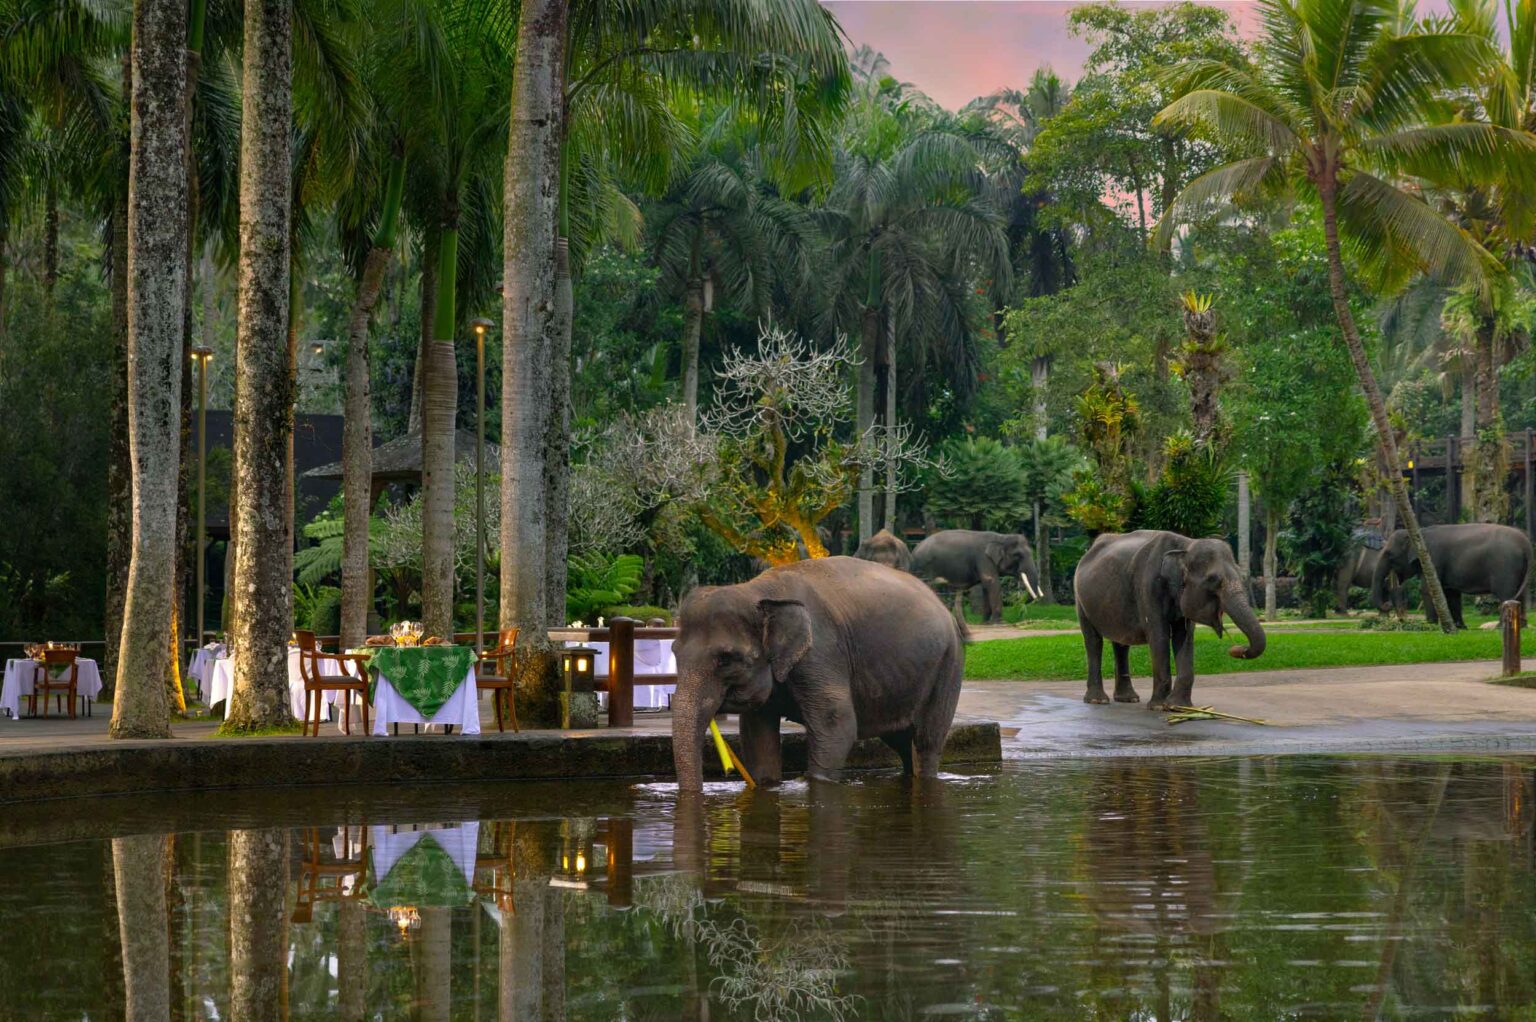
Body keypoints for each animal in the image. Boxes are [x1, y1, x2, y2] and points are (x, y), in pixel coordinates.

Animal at [670, 556, 966, 790]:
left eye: (726, 659)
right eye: (673, 652)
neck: (756, 590)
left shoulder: (821, 652)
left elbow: (837, 724)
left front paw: (808, 782)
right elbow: (757, 735)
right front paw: (767, 784)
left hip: (948, 666)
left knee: (925, 742)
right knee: (901, 742)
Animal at [910, 529, 1041, 624]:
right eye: (1017, 555)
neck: (1001, 537)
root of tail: (914, 551)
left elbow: (986, 586)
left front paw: (986, 623)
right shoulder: (983, 558)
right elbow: (992, 582)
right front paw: (999, 623)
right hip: (926, 568)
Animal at [1074, 530, 1266, 709]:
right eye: (1212, 579)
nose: (1236, 649)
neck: (1186, 546)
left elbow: (1185, 637)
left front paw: (1178, 707)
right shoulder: (1148, 587)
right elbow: (1159, 636)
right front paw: (1158, 706)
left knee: (1121, 644)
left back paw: (1128, 699)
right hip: (1080, 599)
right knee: (1093, 641)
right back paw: (1097, 700)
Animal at [1371, 523, 1533, 629]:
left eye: (1389, 554)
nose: (1387, 604)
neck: (1418, 532)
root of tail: (1526, 544)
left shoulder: (1433, 559)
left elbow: (1426, 589)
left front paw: (1430, 626)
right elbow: (1452, 593)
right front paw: (1460, 627)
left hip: (1505, 566)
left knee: (1505, 594)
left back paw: (1500, 627)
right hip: (1519, 569)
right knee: (1521, 594)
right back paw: (1522, 626)